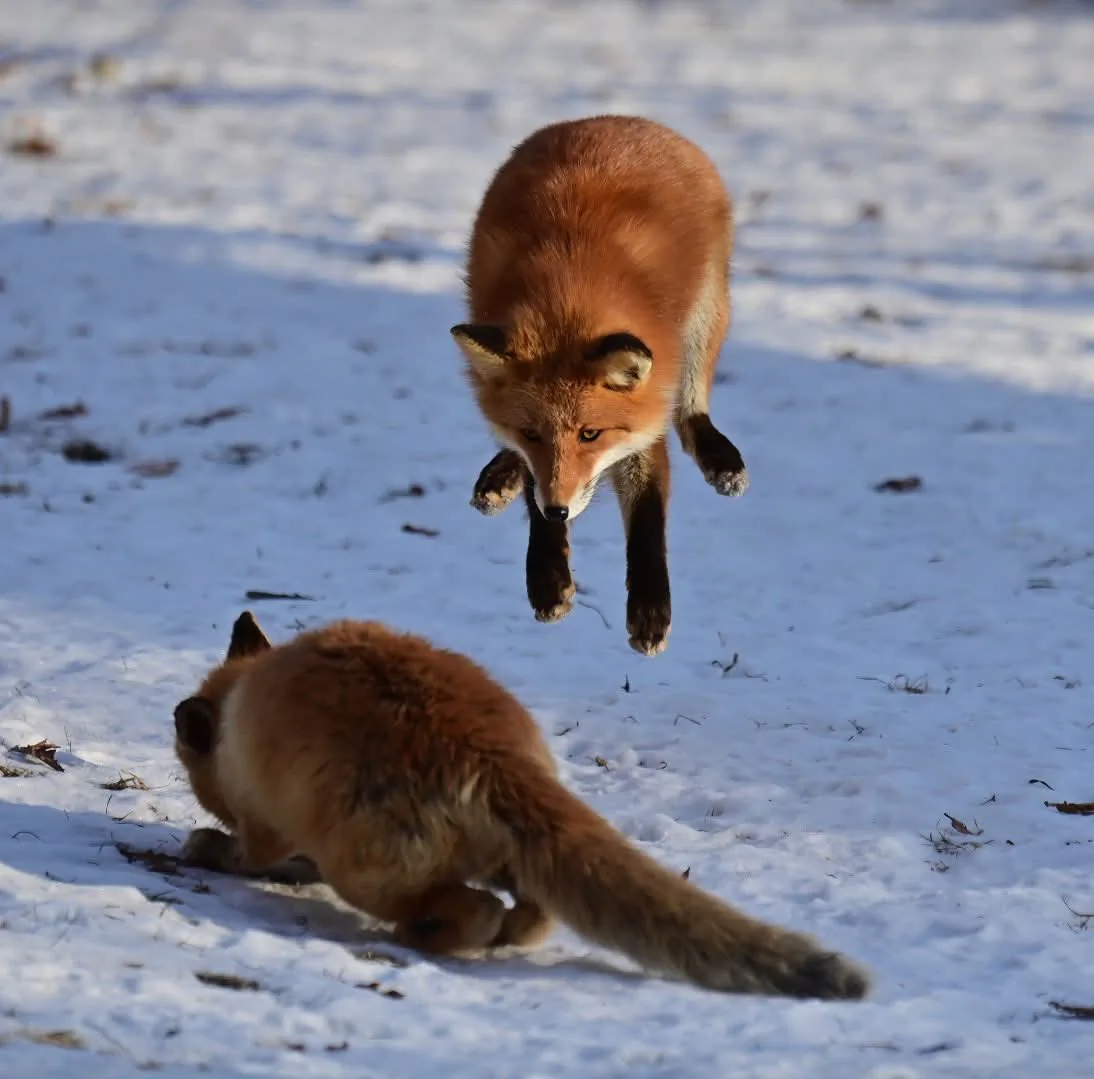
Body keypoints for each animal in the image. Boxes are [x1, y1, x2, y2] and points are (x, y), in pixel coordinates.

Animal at [173, 610, 870, 1000]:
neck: (239, 707)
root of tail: (496, 756)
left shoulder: (266, 822)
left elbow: (251, 854)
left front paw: (208, 849)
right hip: (520, 863)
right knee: (534, 916)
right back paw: (503, 930)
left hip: (370, 875)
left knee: (472, 911)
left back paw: (427, 934)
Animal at [452, 115, 749, 657]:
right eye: (533, 434)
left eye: (591, 434)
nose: (558, 511)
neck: (565, 302)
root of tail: (617, 120)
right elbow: (534, 484)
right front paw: (548, 575)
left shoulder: (645, 420)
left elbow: (648, 520)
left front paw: (650, 610)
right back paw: (500, 477)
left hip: (705, 318)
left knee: (691, 412)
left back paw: (720, 458)